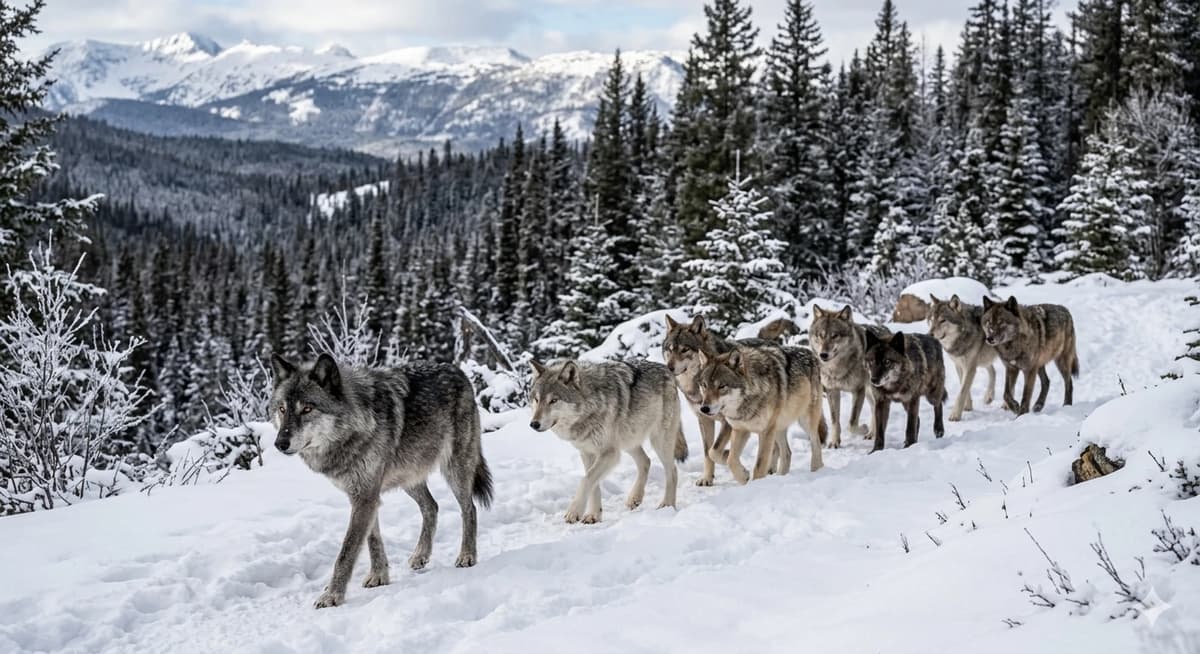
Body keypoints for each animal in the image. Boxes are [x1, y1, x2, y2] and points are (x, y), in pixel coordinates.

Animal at [270, 353, 493, 609]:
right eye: (282, 409)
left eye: (307, 409)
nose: (280, 443)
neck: (356, 425)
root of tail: (456, 370)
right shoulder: (364, 496)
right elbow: (372, 540)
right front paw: (379, 576)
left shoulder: (366, 496)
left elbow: (347, 552)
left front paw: (332, 595)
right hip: (410, 476)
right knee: (432, 507)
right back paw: (421, 555)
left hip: (455, 469)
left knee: (469, 509)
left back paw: (467, 555)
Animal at [528, 358, 686, 524]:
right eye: (536, 399)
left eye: (554, 400)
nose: (534, 424)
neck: (591, 405)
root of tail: (666, 369)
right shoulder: (587, 453)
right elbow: (593, 484)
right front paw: (593, 515)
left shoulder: (609, 453)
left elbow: (586, 480)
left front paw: (574, 511)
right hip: (628, 442)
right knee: (646, 461)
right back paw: (634, 498)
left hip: (658, 441)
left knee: (672, 471)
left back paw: (667, 505)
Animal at [662, 315, 777, 485]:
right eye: (669, 349)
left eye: (684, 349)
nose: (668, 368)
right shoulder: (704, 419)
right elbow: (707, 452)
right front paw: (706, 478)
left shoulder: (728, 422)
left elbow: (714, 451)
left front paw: (731, 459)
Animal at [694, 344, 828, 481]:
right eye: (704, 385)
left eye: (721, 386)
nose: (704, 409)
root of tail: (810, 352)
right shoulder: (740, 429)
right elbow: (719, 455)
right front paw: (742, 474)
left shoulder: (765, 431)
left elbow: (759, 466)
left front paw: (755, 483)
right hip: (778, 427)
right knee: (787, 453)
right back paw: (780, 477)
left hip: (804, 422)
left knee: (816, 444)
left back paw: (816, 471)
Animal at [808, 305, 891, 448]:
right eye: (821, 335)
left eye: (835, 336)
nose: (823, 354)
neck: (837, 369)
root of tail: (886, 329)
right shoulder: (832, 390)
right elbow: (835, 420)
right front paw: (834, 442)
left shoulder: (858, 390)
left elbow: (852, 423)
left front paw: (863, 428)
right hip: (869, 392)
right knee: (874, 408)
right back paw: (871, 433)